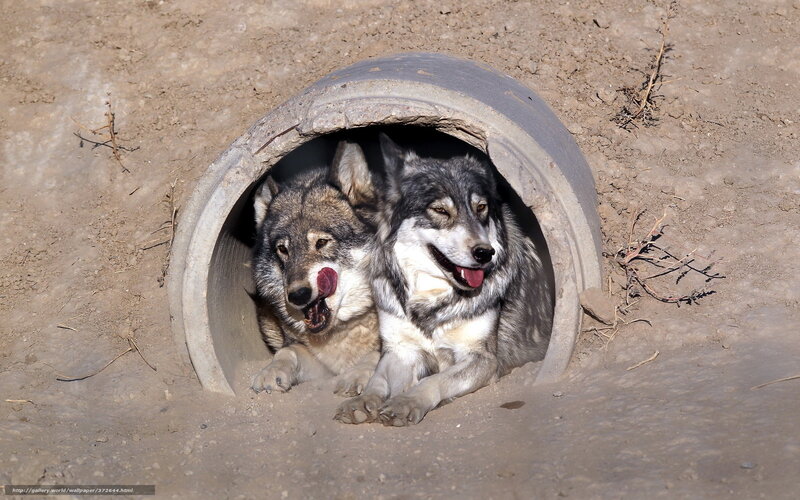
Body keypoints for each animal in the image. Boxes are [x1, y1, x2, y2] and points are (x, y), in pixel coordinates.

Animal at [250, 141, 381, 397]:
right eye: (283, 250)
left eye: (321, 242)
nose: (298, 295)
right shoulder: (317, 364)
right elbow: (287, 352)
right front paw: (272, 371)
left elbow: (377, 354)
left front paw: (356, 374)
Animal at [334, 133, 553, 426]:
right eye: (440, 210)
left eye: (481, 208)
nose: (485, 253)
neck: (431, 299)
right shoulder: (399, 350)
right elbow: (378, 380)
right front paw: (364, 400)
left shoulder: (482, 358)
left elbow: (435, 379)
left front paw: (407, 401)